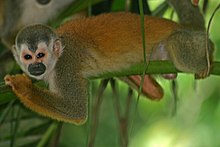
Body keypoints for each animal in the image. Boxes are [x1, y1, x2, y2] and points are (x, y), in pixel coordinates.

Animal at [3, 12, 213, 124]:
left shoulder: (66, 66)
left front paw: (23, 86)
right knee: (156, 87)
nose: (35, 67)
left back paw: (208, 57)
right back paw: (147, 83)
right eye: (28, 57)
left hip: (188, 40)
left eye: (40, 55)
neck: (57, 57)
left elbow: (76, 111)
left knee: (179, 48)